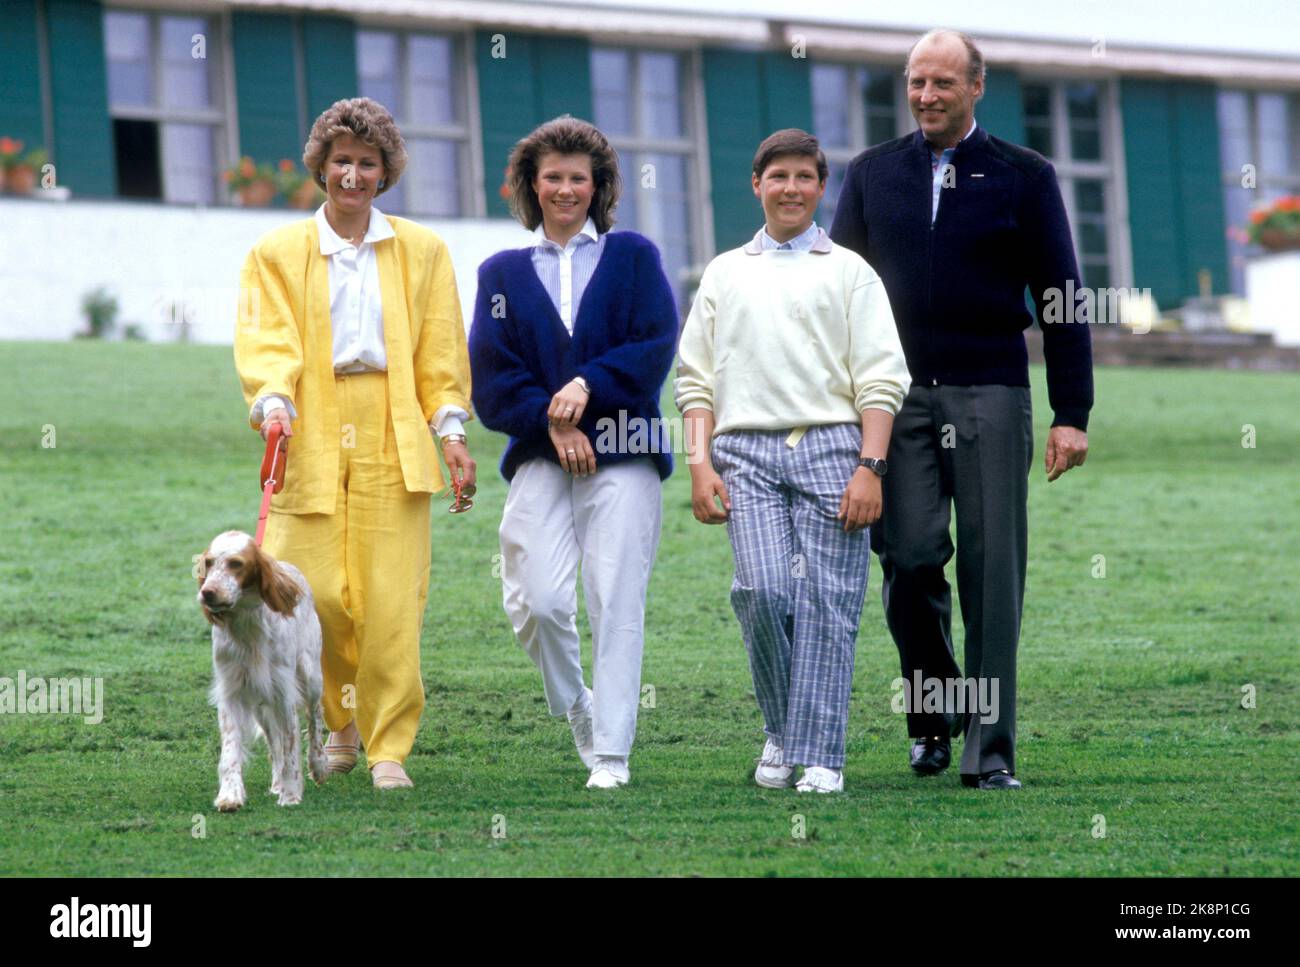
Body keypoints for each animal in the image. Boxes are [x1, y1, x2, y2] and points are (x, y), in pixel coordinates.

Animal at [197, 532, 332, 811]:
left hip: (310, 676)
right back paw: (277, 782)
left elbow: (291, 749)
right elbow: (231, 749)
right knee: (274, 742)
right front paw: (230, 794)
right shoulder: (232, 691)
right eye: (209, 563)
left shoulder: (283, 692)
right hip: (262, 704)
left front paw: (290, 795)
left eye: (236, 564)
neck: (247, 627)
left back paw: (319, 765)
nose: (207, 593)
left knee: (314, 717)